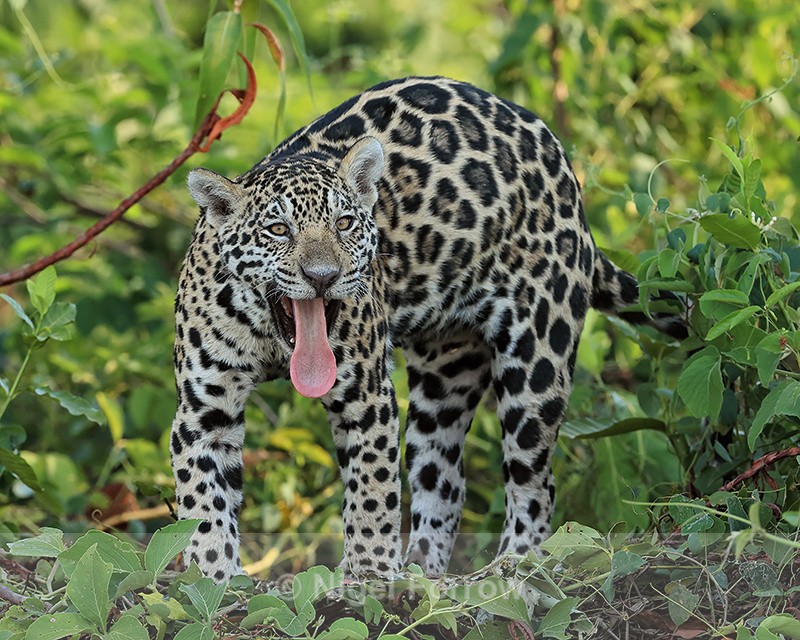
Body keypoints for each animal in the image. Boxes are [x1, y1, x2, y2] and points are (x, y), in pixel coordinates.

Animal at [170, 76, 685, 583]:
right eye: (277, 229)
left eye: (344, 223)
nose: (323, 276)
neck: (269, 336)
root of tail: (566, 176)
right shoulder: (204, 411)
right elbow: (203, 502)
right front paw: (214, 581)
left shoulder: (366, 397)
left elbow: (372, 492)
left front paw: (370, 577)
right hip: (446, 376)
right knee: (444, 478)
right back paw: (423, 572)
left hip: (537, 365)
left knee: (534, 485)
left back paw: (507, 572)